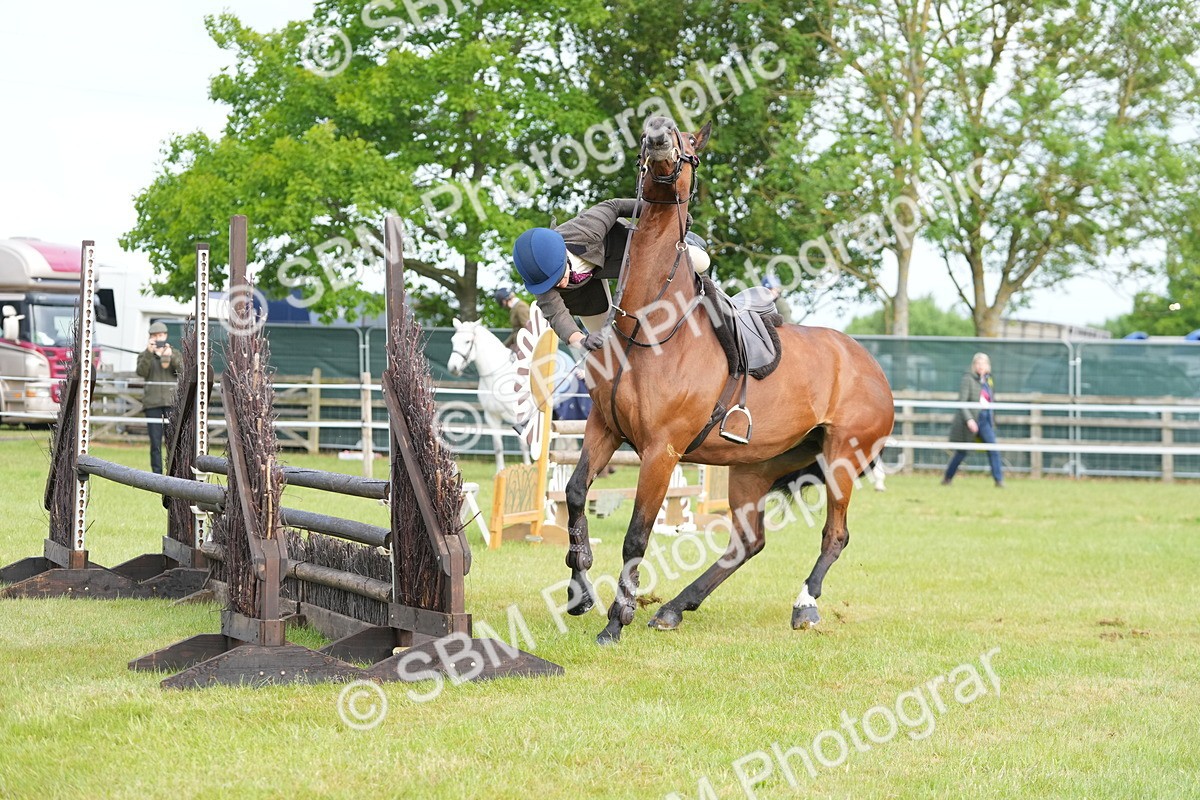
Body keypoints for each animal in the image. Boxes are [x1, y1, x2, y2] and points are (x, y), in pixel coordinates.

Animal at [446, 319, 530, 472]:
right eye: (453, 340)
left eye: (467, 341)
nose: (453, 368)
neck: (495, 376)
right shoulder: (492, 416)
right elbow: (498, 446)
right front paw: (499, 472)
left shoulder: (517, 416)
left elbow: (523, 444)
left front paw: (527, 468)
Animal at [564, 115, 896, 644]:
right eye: (649, 131)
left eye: (688, 144)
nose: (659, 135)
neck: (650, 329)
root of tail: (871, 366)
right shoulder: (604, 428)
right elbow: (576, 494)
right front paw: (580, 590)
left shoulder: (661, 452)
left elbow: (637, 535)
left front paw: (617, 619)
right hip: (753, 468)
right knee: (747, 542)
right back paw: (675, 608)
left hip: (842, 459)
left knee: (834, 535)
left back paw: (804, 605)